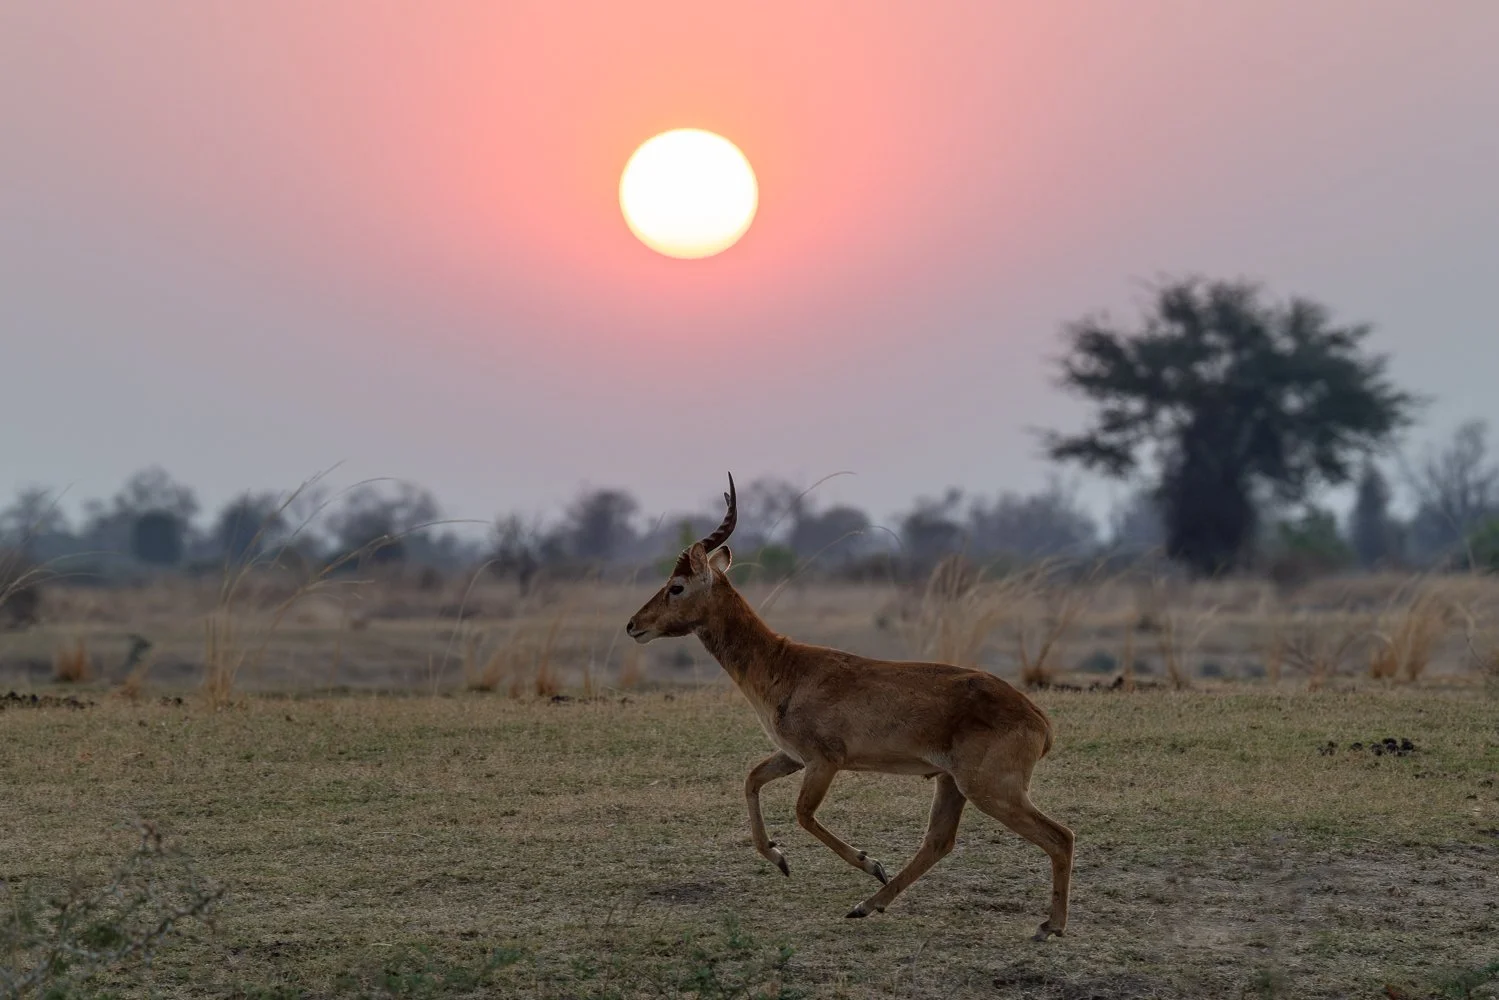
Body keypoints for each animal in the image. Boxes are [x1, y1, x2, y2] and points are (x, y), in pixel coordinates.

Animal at [625, 474, 1075, 940]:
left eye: (677, 586)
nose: (634, 626)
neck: (786, 665)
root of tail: (1038, 719)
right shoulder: (793, 756)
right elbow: (751, 780)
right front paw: (781, 859)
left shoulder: (825, 761)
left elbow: (803, 814)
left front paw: (868, 862)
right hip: (951, 784)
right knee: (938, 842)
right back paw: (867, 905)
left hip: (990, 790)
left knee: (1060, 836)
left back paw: (1050, 926)